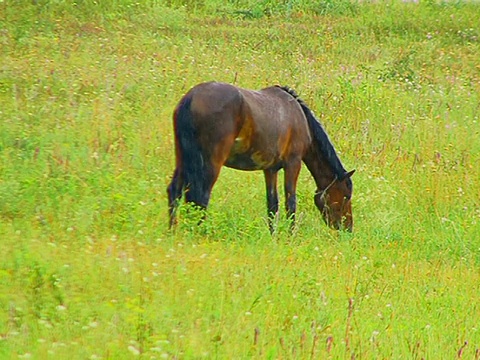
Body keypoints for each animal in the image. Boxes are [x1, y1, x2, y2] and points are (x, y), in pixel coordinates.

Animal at [167, 81, 354, 232]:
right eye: (346, 195)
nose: (348, 229)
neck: (300, 118)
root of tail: (190, 98)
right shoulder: (293, 164)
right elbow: (290, 204)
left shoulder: (270, 169)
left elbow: (272, 205)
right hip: (210, 163)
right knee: (201, 196)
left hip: (183, 159)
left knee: (175, 191)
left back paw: (172, 231)